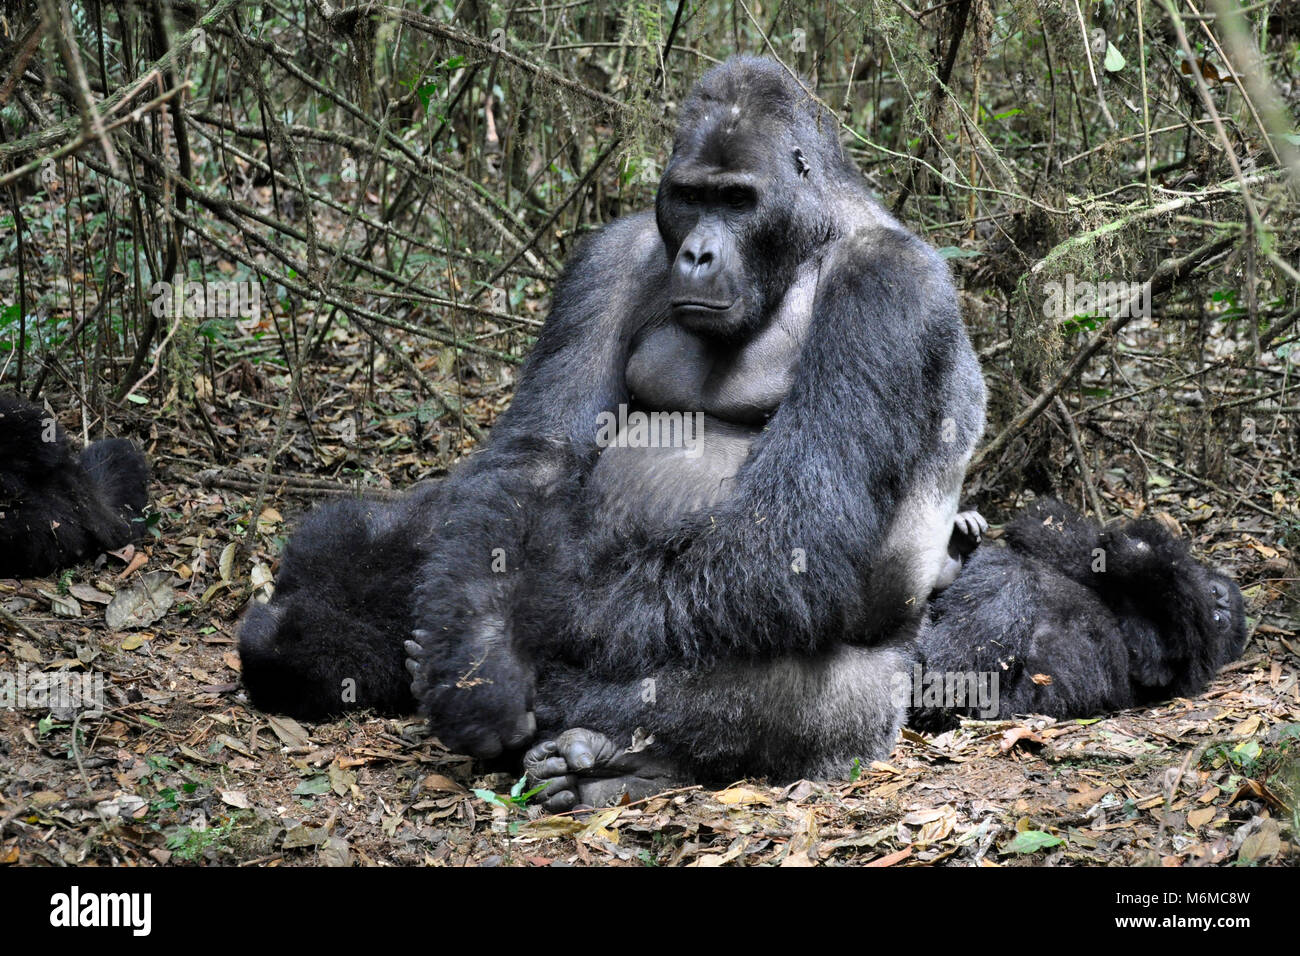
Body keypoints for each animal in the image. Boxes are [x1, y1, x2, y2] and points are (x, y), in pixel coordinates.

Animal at [239, 57, 982, 806]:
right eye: (690, 197)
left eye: (738, 200)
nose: (698, 254)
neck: (809, 238)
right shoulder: (610, 257)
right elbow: (539, 455)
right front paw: (479, 659)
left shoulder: (887, 285)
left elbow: (791, 529)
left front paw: (530, 628)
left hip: (890, 686)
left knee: (796, 697)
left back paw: (613, 760)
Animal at [904, 502, 1248, 733]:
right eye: (1215, 591)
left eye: (1221, 620)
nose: (1217, 603)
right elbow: (1054, 536)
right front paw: (1140, 549)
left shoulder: (1189, 658)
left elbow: (1152, 660)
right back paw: (952, 556)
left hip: (1002, 703)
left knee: (1012, 575)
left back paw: (942, 689)